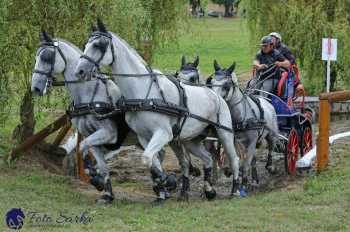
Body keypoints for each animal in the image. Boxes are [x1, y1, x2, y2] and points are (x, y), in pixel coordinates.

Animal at [75, 19, 242, 199]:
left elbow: (147, 158)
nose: (80, 71)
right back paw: (208, 190)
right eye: (86, 44)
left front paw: (167, 182)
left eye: (98, 45)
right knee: (208, 159)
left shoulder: (163, 133)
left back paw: (235, 190)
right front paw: (164, 183)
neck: (143, 94)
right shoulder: (143, 137)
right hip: (191, 140)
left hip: (224, 134)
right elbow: (151, 161)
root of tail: (215, 95)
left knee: (234, 159)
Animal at [206, 59, 280, 190]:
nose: (214, 100)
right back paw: (255, 178)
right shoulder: (235, 141)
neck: (240, 117)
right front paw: (231, 172)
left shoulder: (251, 141)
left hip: (271, 134)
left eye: (226, 85)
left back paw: (270, 167)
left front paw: (244, 183)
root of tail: (267, 102)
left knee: (271, 148)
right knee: (253, 159)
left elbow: (245, 165)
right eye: (212, 82)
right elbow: (236, 160)